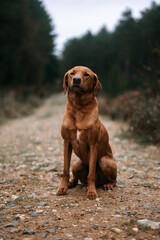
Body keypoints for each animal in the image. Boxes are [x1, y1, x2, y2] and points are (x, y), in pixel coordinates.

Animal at [57, 65, 117, 199]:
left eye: (86, 75)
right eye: (72, 73)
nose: (76, 79)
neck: (79, 107)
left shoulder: (93, 144)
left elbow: (91, 174)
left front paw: (91, 192)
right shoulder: (66, 142)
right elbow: (65, 170)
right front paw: (63, 188)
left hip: (105, 161)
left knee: (113, 179)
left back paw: (108, 184)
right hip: (76, 165)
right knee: (76, 177)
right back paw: (71, 183)